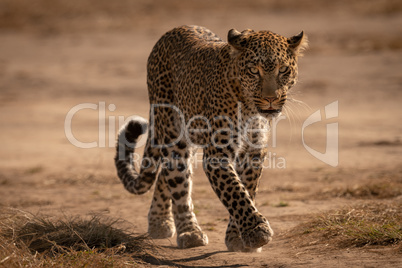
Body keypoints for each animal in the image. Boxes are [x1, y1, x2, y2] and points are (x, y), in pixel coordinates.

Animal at [114, 24, 308, 251]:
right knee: (178, 182)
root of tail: (174, 30)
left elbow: (247, 190)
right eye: (254, 70)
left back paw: (159, 221)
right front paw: (257, 231)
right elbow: (234, 192)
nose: (271, 99)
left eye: (283, 70)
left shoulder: (254, 150)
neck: (250, 108)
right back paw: (189, 231)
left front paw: (237, 237)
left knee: (165, 172)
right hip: (171, 130)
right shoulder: (217, 154)